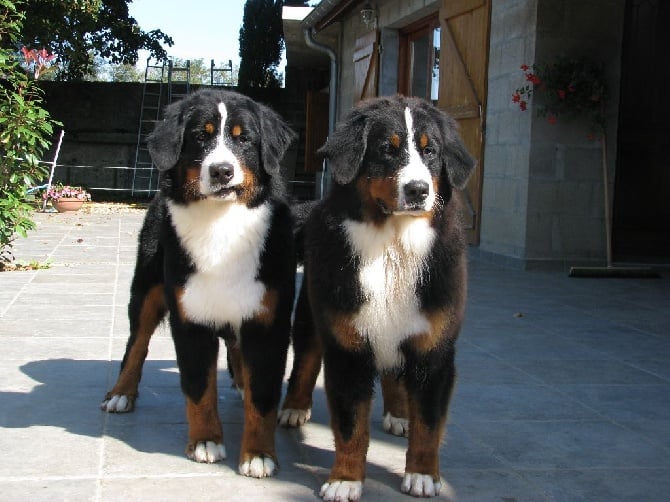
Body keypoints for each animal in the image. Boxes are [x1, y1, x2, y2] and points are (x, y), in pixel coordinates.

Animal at [101, 89, 296, 478]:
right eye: (199, 137)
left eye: (243, 138)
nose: (222, 170)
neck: (221, 227)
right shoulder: (189, 319)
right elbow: (198, 387)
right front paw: (206, 441)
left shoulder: (268, 322)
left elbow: (263, 396)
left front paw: (258, 454)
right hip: (146, 290)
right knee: (136, 343)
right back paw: (121, 393)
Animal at [280, 94, 476, 498]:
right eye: (388, 149)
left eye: (430, 151)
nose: (418, 190)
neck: (393, 248)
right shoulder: (347, 346)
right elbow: (350, 426)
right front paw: (345, 479)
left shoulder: (434, 350)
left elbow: (428, 425)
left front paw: (422, 475)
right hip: (310, 317)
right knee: (305, 362)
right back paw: (294, 408)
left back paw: (399, 414)